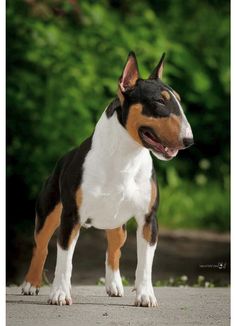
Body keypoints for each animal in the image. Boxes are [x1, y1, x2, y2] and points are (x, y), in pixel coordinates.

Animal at [21, 52, 194, 306]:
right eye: (159, 101)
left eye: (178, 101)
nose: (189, 140)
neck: (125, 157)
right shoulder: (71, 217)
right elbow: (65, 259)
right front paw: (60, 294)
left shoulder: (148, 219)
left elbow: (145, 264)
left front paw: (145, 296)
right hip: (48, 212)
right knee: (41, 247)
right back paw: (31, 284)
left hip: (118, 225)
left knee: (114, 249)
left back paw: (114, 285)